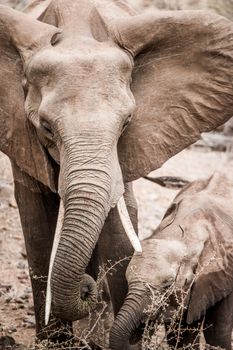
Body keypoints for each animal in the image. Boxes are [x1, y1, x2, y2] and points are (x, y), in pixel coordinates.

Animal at [110, 172, 233, 350]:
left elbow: (218, 335)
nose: (138, 333)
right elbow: (181, 339)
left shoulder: (225, 273)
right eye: (127, 281)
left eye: (167, 286)